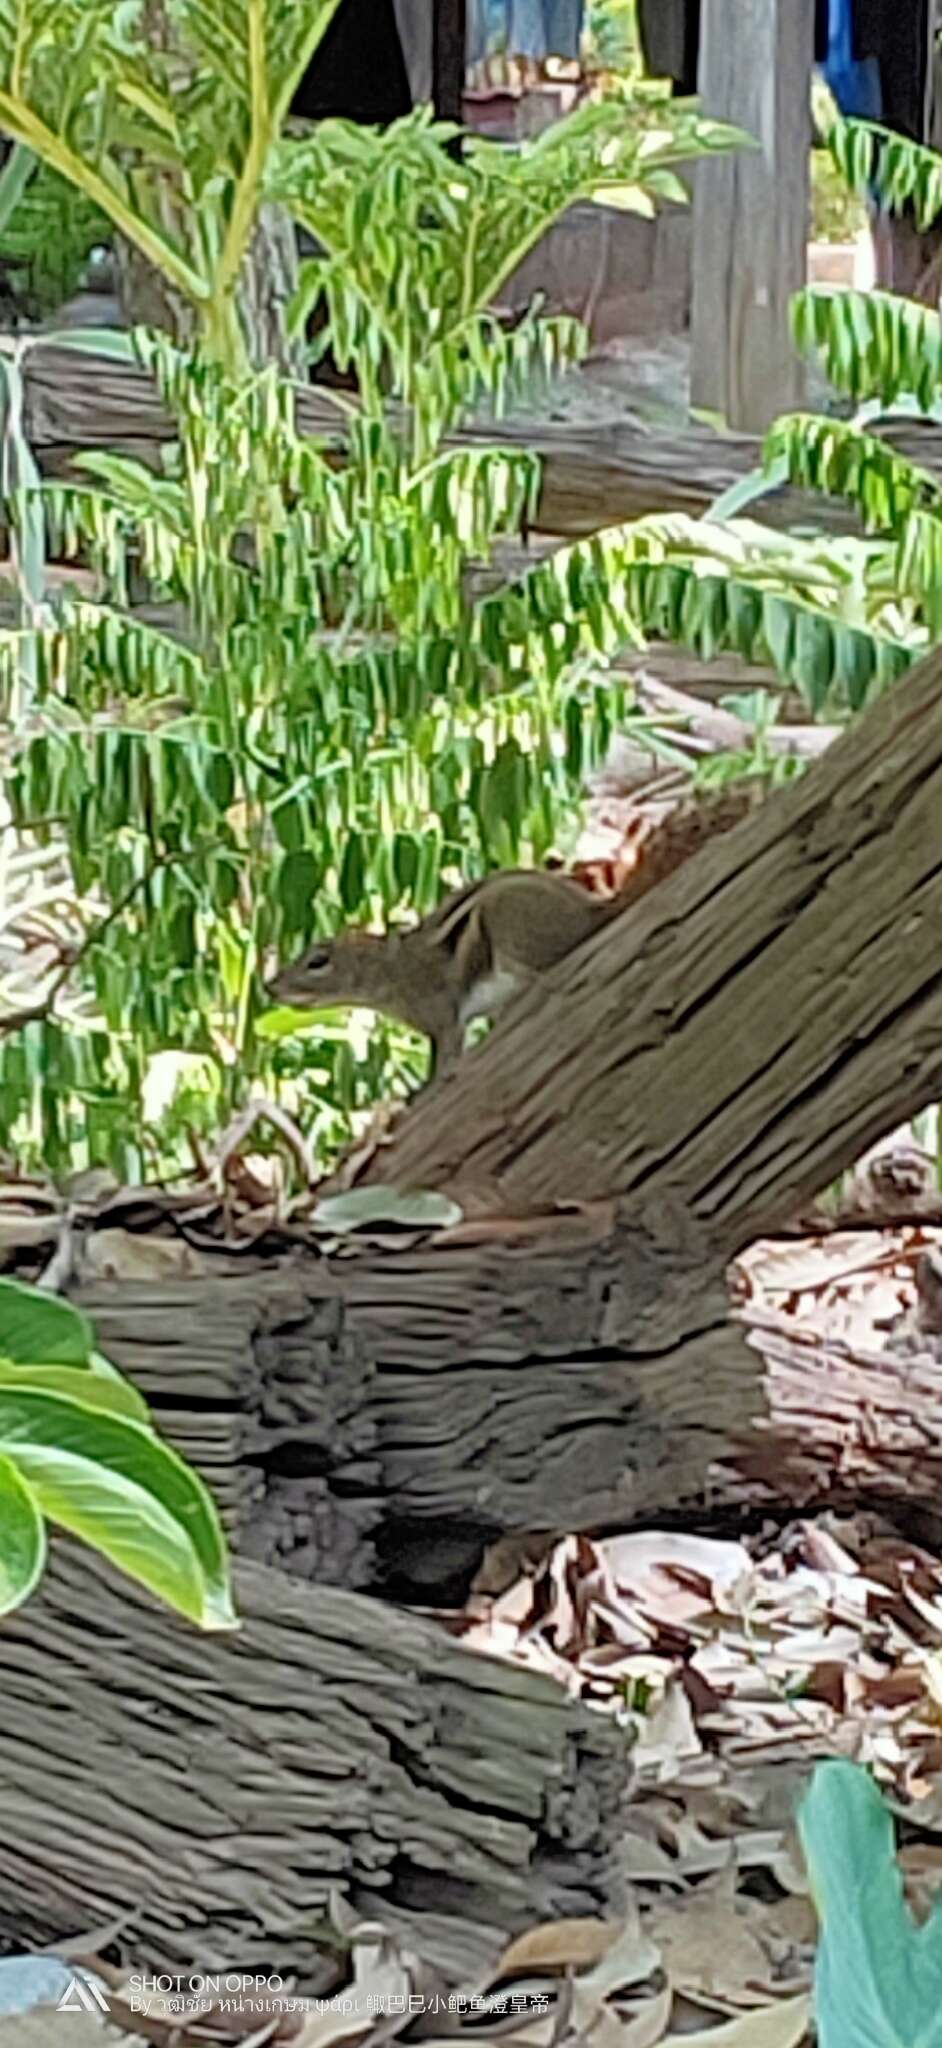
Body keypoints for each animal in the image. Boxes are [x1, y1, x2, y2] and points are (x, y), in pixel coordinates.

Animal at [264, 778, 757, 1081]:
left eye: (318, 960)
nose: (270, 987)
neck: (394, 969)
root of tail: (597, 910)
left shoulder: (441, 1013)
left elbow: (446, 1057)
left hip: (512, 927)